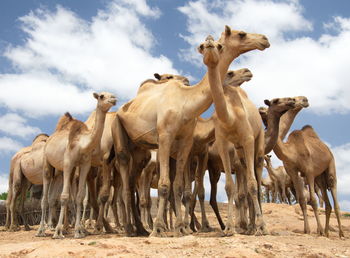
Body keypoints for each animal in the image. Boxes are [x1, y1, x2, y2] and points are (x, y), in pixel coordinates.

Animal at [36, 91, 116, 239]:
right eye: (102, 96)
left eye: (112, 94)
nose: (114, 99)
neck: (82, 144)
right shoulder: (68, 163)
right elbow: (64, 197)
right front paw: (58, 232)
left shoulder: (84, 164)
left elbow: (79, 197)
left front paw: (79, 231)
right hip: (47, 163)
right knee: (45, 196)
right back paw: (41, 231)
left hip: (61, 171)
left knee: (53, 197)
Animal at [110, 26, 270, 238]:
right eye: (241, 34)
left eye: (219, 45)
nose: (264, 39)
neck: (186, 103)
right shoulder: (165, 136)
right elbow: (164, 185)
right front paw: (159, 228)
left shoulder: (186, 143)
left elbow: (178, 187)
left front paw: (180, 228)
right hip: (118, 128)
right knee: (124, 177)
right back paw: (130, 229)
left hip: (140, 148)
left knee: (132, 179)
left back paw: (141, 228)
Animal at [272, 98, 344, 237]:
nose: (305, 100)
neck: (292, 150)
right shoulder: (294, 173)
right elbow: (301, 200)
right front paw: (307, 230)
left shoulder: (309, 172)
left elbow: (313, 200)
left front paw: (318, 230)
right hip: (320, 177)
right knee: (327, 203)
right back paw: (327, 232)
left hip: (330, 165)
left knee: (333, 190)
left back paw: (340, 233)